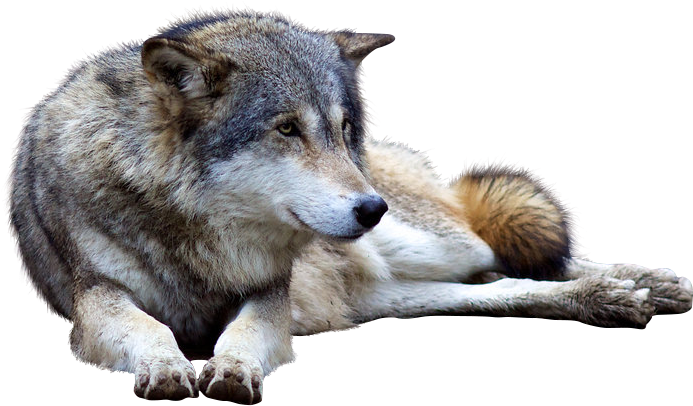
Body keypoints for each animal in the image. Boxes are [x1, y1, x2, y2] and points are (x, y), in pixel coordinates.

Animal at [5, 7, 692, 404]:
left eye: (340, 129)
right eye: (286, 129)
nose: (371, 208)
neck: (192, 228)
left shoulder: (271, 295)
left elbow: (246, 333)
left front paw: (231, 369)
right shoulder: (95, 299)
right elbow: (145, 326)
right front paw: (166, 368)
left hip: (425, 244)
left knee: (514, 255)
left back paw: (643, 284)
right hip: (383, 293)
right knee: (501, 285)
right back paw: (619, 296)